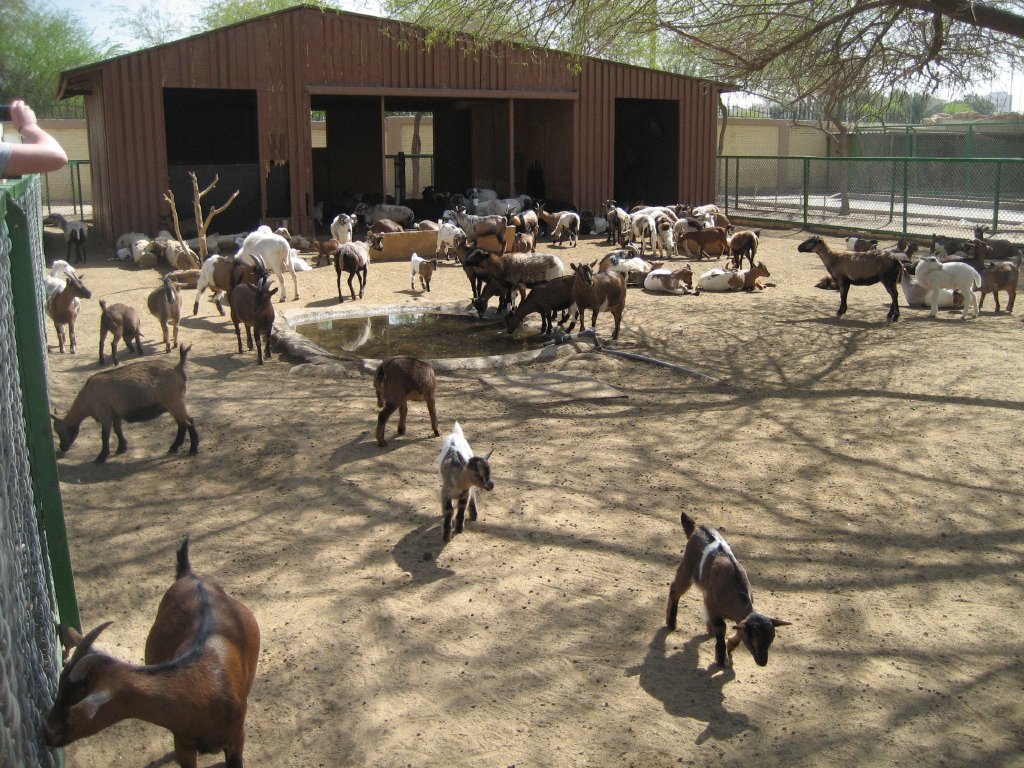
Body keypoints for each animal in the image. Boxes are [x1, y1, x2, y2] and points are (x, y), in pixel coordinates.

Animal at [45, 537, 259, 766]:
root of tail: (189, 576)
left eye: (72, 709)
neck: (201, 689)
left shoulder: (236, 738)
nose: (45, 733)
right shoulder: (183, 743)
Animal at [51, 345, 198, 462]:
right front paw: (122, 448)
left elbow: (105, 435)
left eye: (59, 430)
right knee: (182, 423)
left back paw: (193, 450)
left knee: (188, 422)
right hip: (172, 404)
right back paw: (174, 447)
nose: (62, 447)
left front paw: (101, 457)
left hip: (174, 401)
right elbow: (117, 430)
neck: (88, 395)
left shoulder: (105, 415)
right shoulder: (116, 414)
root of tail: (177, 368)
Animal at [666, 511, 791, 668]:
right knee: (675, 589)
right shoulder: (715, 608)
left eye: (770, 641)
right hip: (687, 567)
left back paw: (709, 629)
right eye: (753, 642)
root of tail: (697, 527)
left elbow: (737, 630)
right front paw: (720, 658)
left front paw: (730, 645)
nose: (762, 662)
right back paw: (671, 623)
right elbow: (721, 628)